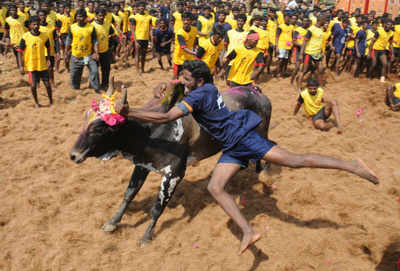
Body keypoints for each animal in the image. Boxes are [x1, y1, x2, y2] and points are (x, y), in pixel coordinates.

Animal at [70, 81, 274, 246]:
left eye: (99, 128)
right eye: (85, 119)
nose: (73, 155)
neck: (149, 132)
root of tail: (256, 92)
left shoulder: (174, 174)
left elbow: (157, 208)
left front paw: (146, 236)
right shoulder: (142, 165)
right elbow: (129, 194)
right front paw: (112, 222)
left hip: (261, 133)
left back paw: (266, 174)